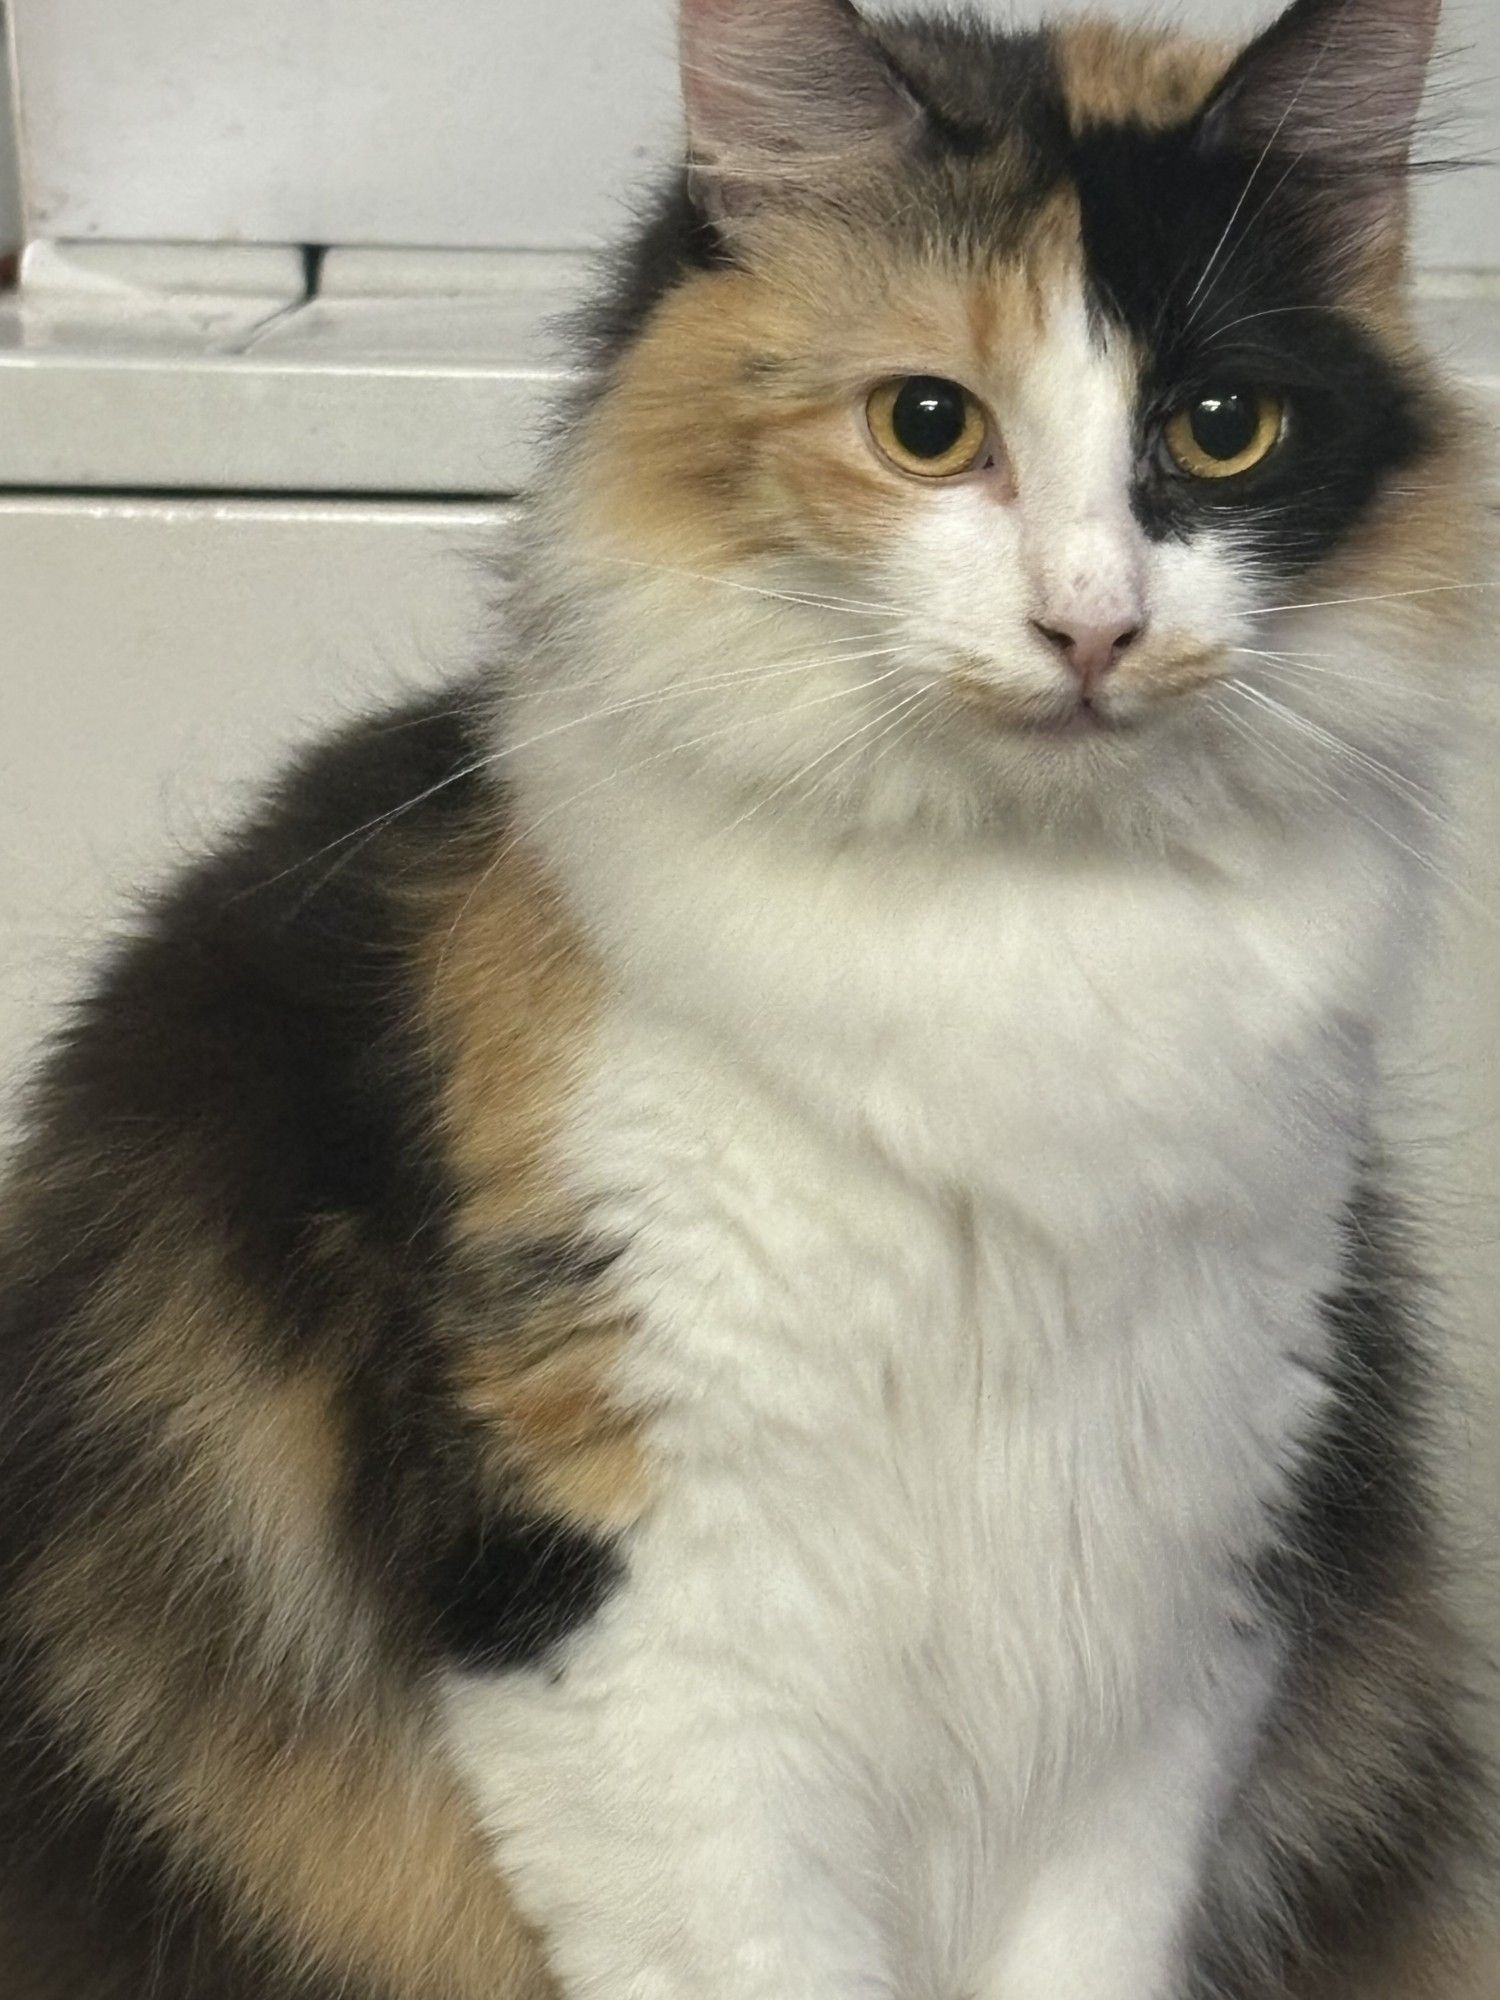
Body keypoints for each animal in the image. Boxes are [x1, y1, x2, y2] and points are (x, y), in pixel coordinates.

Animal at [2, 0, 1500, 1992]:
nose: (1092, 626)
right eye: (930, 425)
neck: (1026, 930)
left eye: (1223, 428)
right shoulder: (642, 1619)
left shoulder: (1176, 1603)